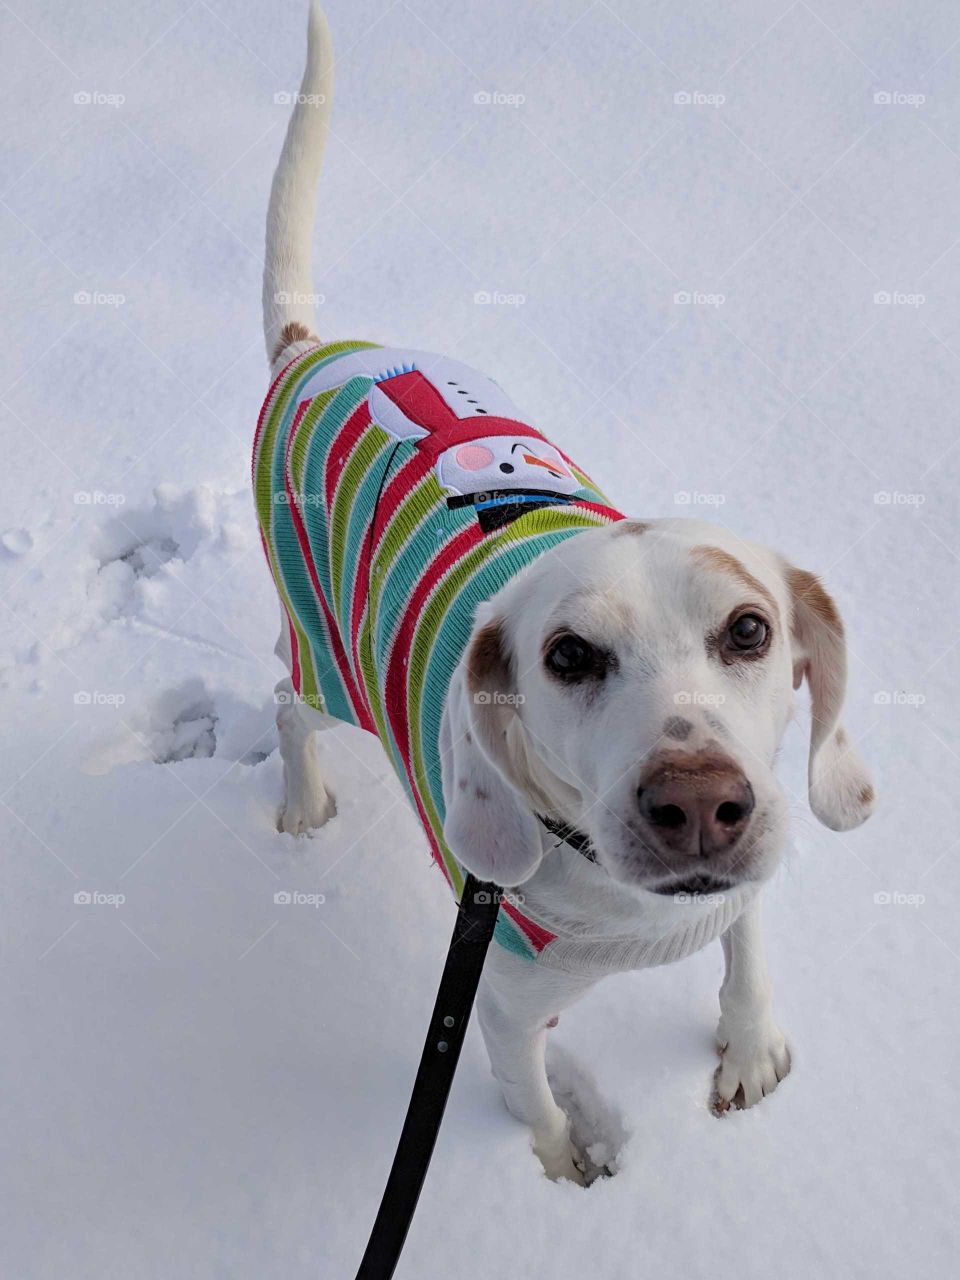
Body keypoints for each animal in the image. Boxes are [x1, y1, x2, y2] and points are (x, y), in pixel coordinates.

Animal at [256, 5, 880, 1182]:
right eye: (568, 657)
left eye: (750, 628)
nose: (699, 802)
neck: (632, 907)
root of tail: (312, 351)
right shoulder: (500, 1007)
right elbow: (529, 1094)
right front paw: (559, 1166)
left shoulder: (751, 868)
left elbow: (748, 943)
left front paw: (749, 1045)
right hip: (326, 663)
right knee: (283, 703)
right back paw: (303, 800)